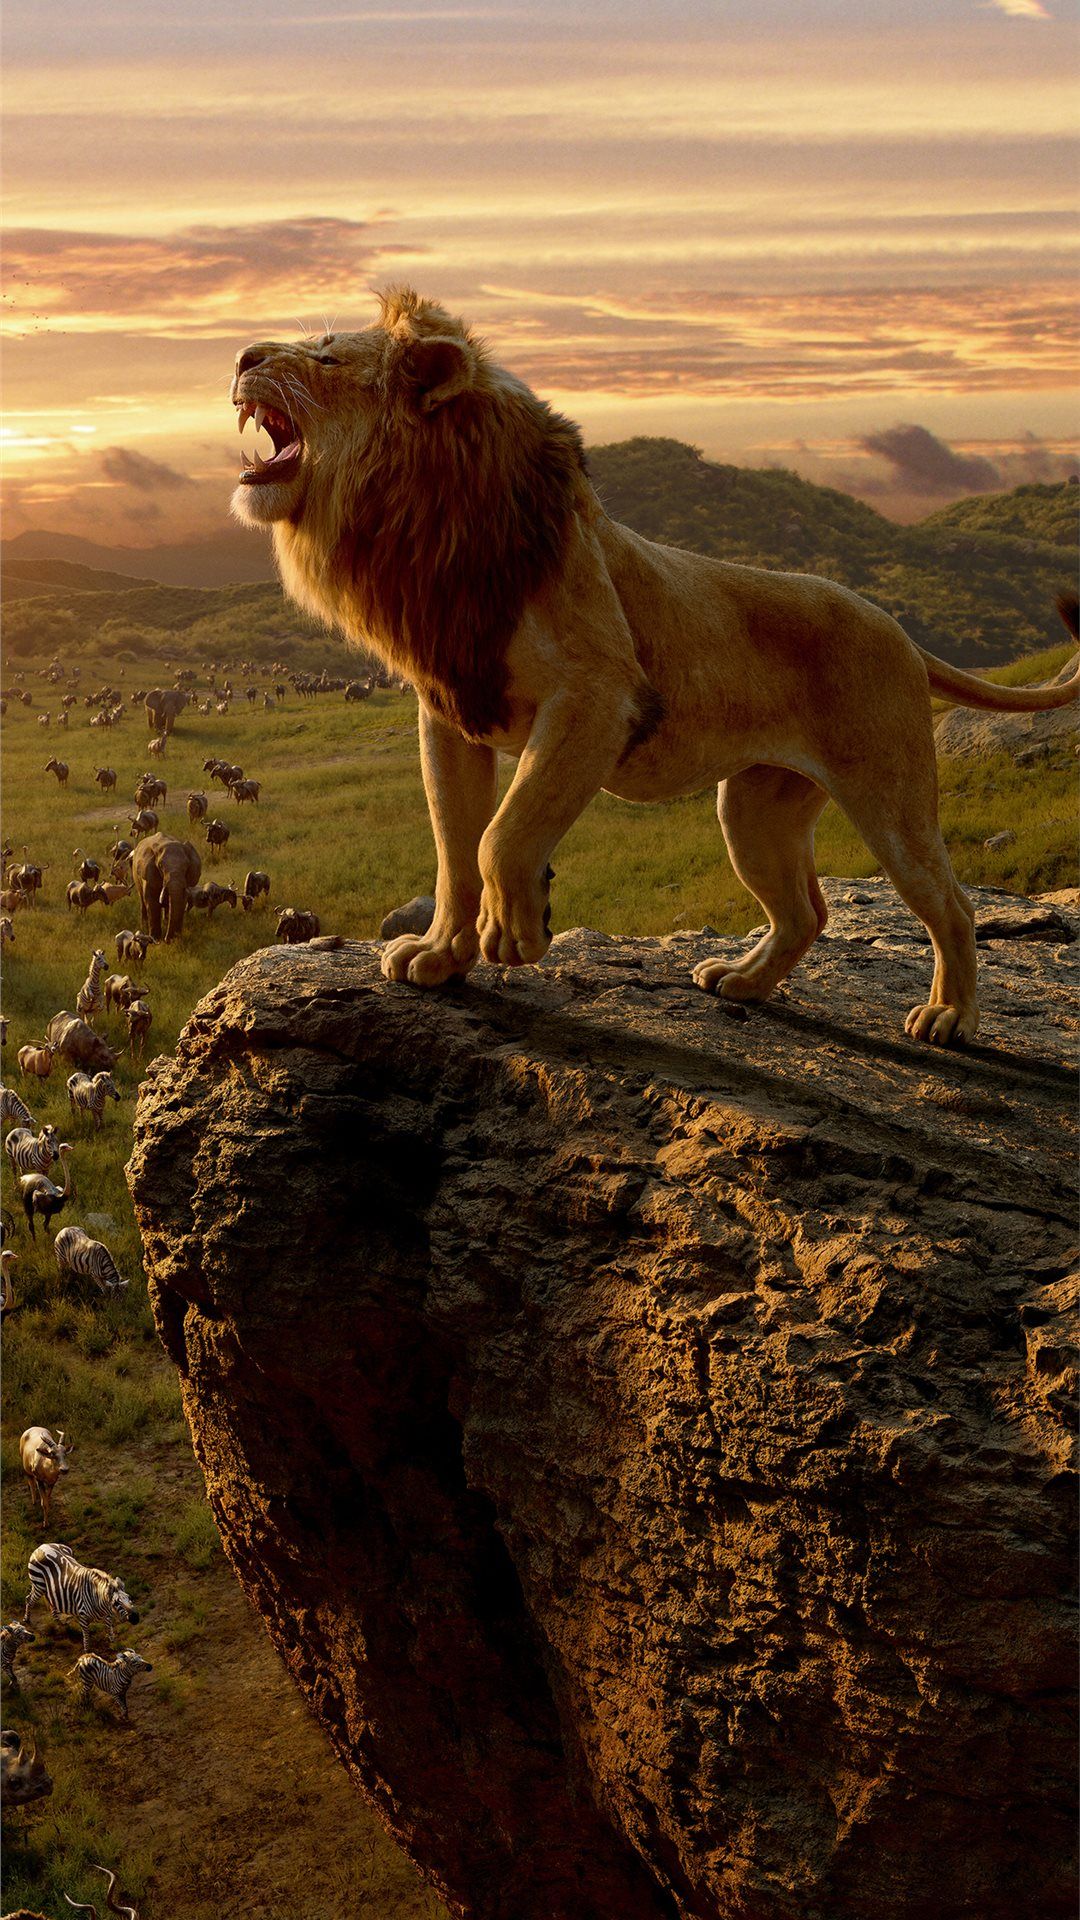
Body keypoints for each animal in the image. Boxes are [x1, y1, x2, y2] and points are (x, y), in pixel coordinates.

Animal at [231, 286, 1079, 1048]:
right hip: (756, 810)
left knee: (951, 904)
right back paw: (742, 982)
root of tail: (897, 628)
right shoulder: (450, 712)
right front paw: (441, 957)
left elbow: (503, 833)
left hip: (890, 797)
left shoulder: (598, 696)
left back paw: (949, 1018)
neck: (425, 530)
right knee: (805, 910)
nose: (241, 357)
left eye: (325, 355)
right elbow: (453, 849)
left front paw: (518, 931)